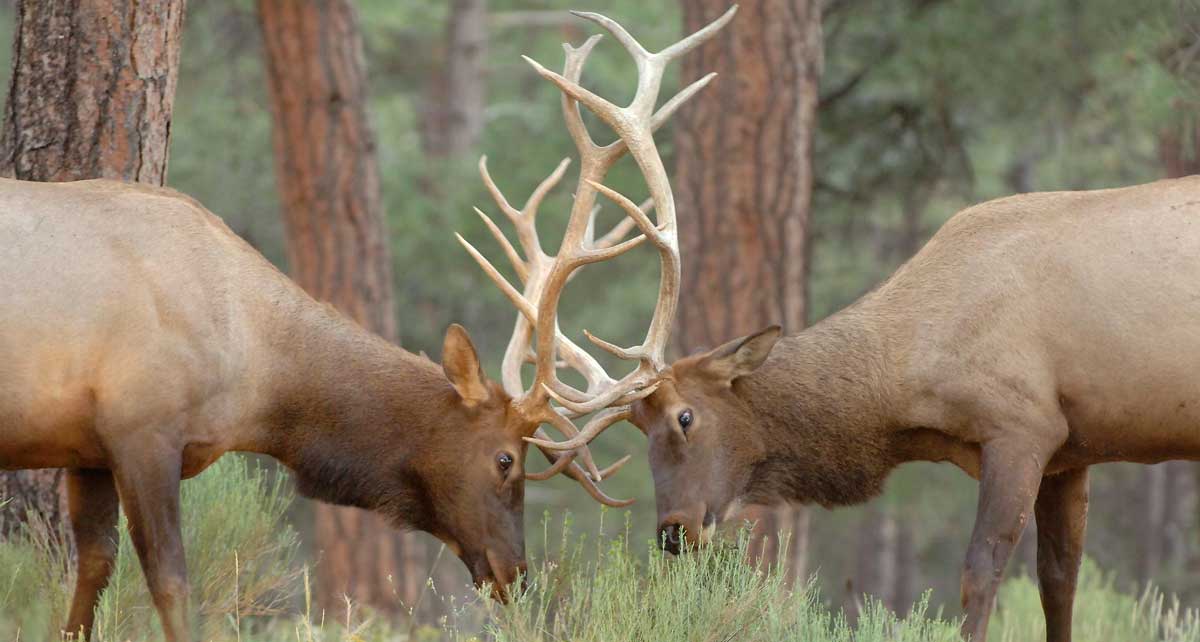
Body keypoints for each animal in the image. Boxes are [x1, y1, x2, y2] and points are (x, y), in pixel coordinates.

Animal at [0, 7, 731, 641]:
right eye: (505, 459)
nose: (516, 576)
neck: (250, 370)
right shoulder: (142, 427)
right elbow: (172, 586)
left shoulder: (88, 448)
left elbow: (90, 577)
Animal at [530, 176, 1200, 641]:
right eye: (638, 424)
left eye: (685, 416)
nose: (672, 531)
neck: (906, 384)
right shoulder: (1070, 452)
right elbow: (1060, 583)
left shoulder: (1022, 427)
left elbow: (980, 573)